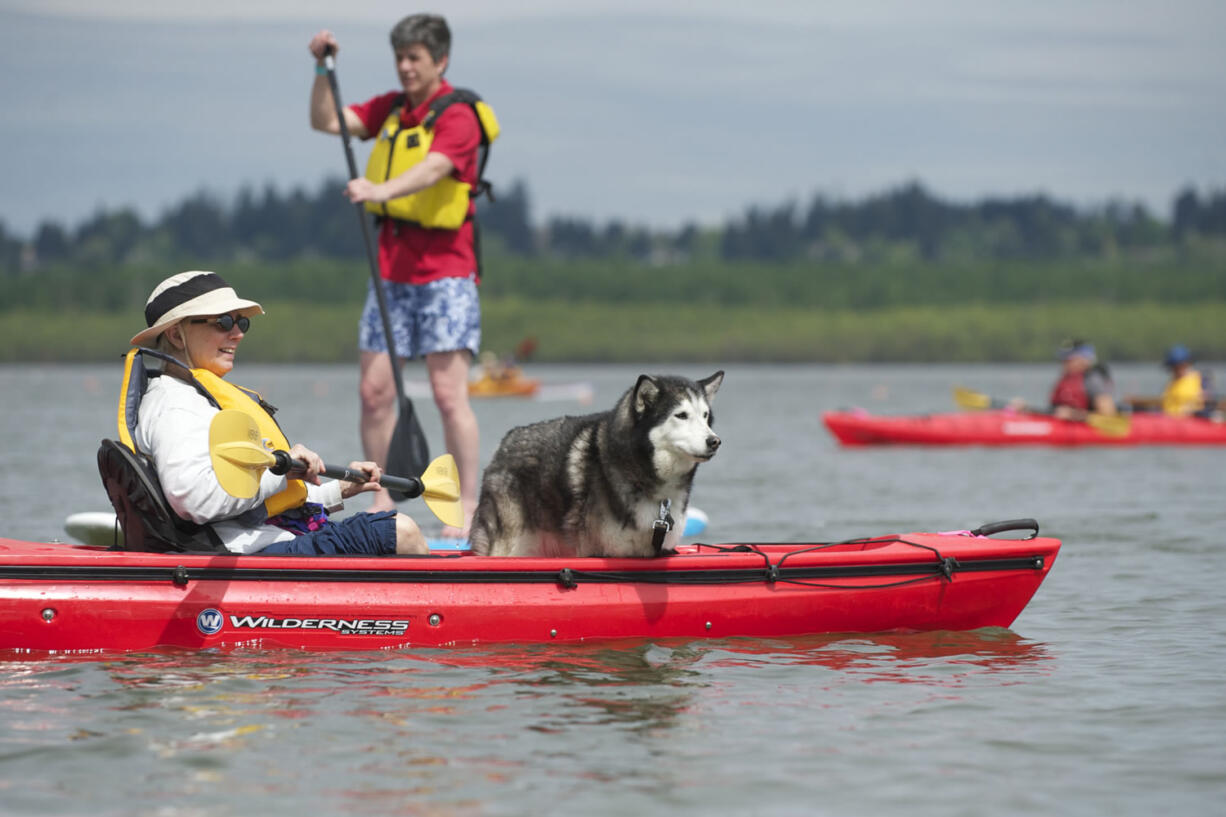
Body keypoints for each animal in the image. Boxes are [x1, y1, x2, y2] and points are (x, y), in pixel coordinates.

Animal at [465, 370, 715, 556]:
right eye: (681, 415)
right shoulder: (595, 550)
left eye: (705, 416)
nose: (715, 441)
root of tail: (506, 442)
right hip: (509, 543)